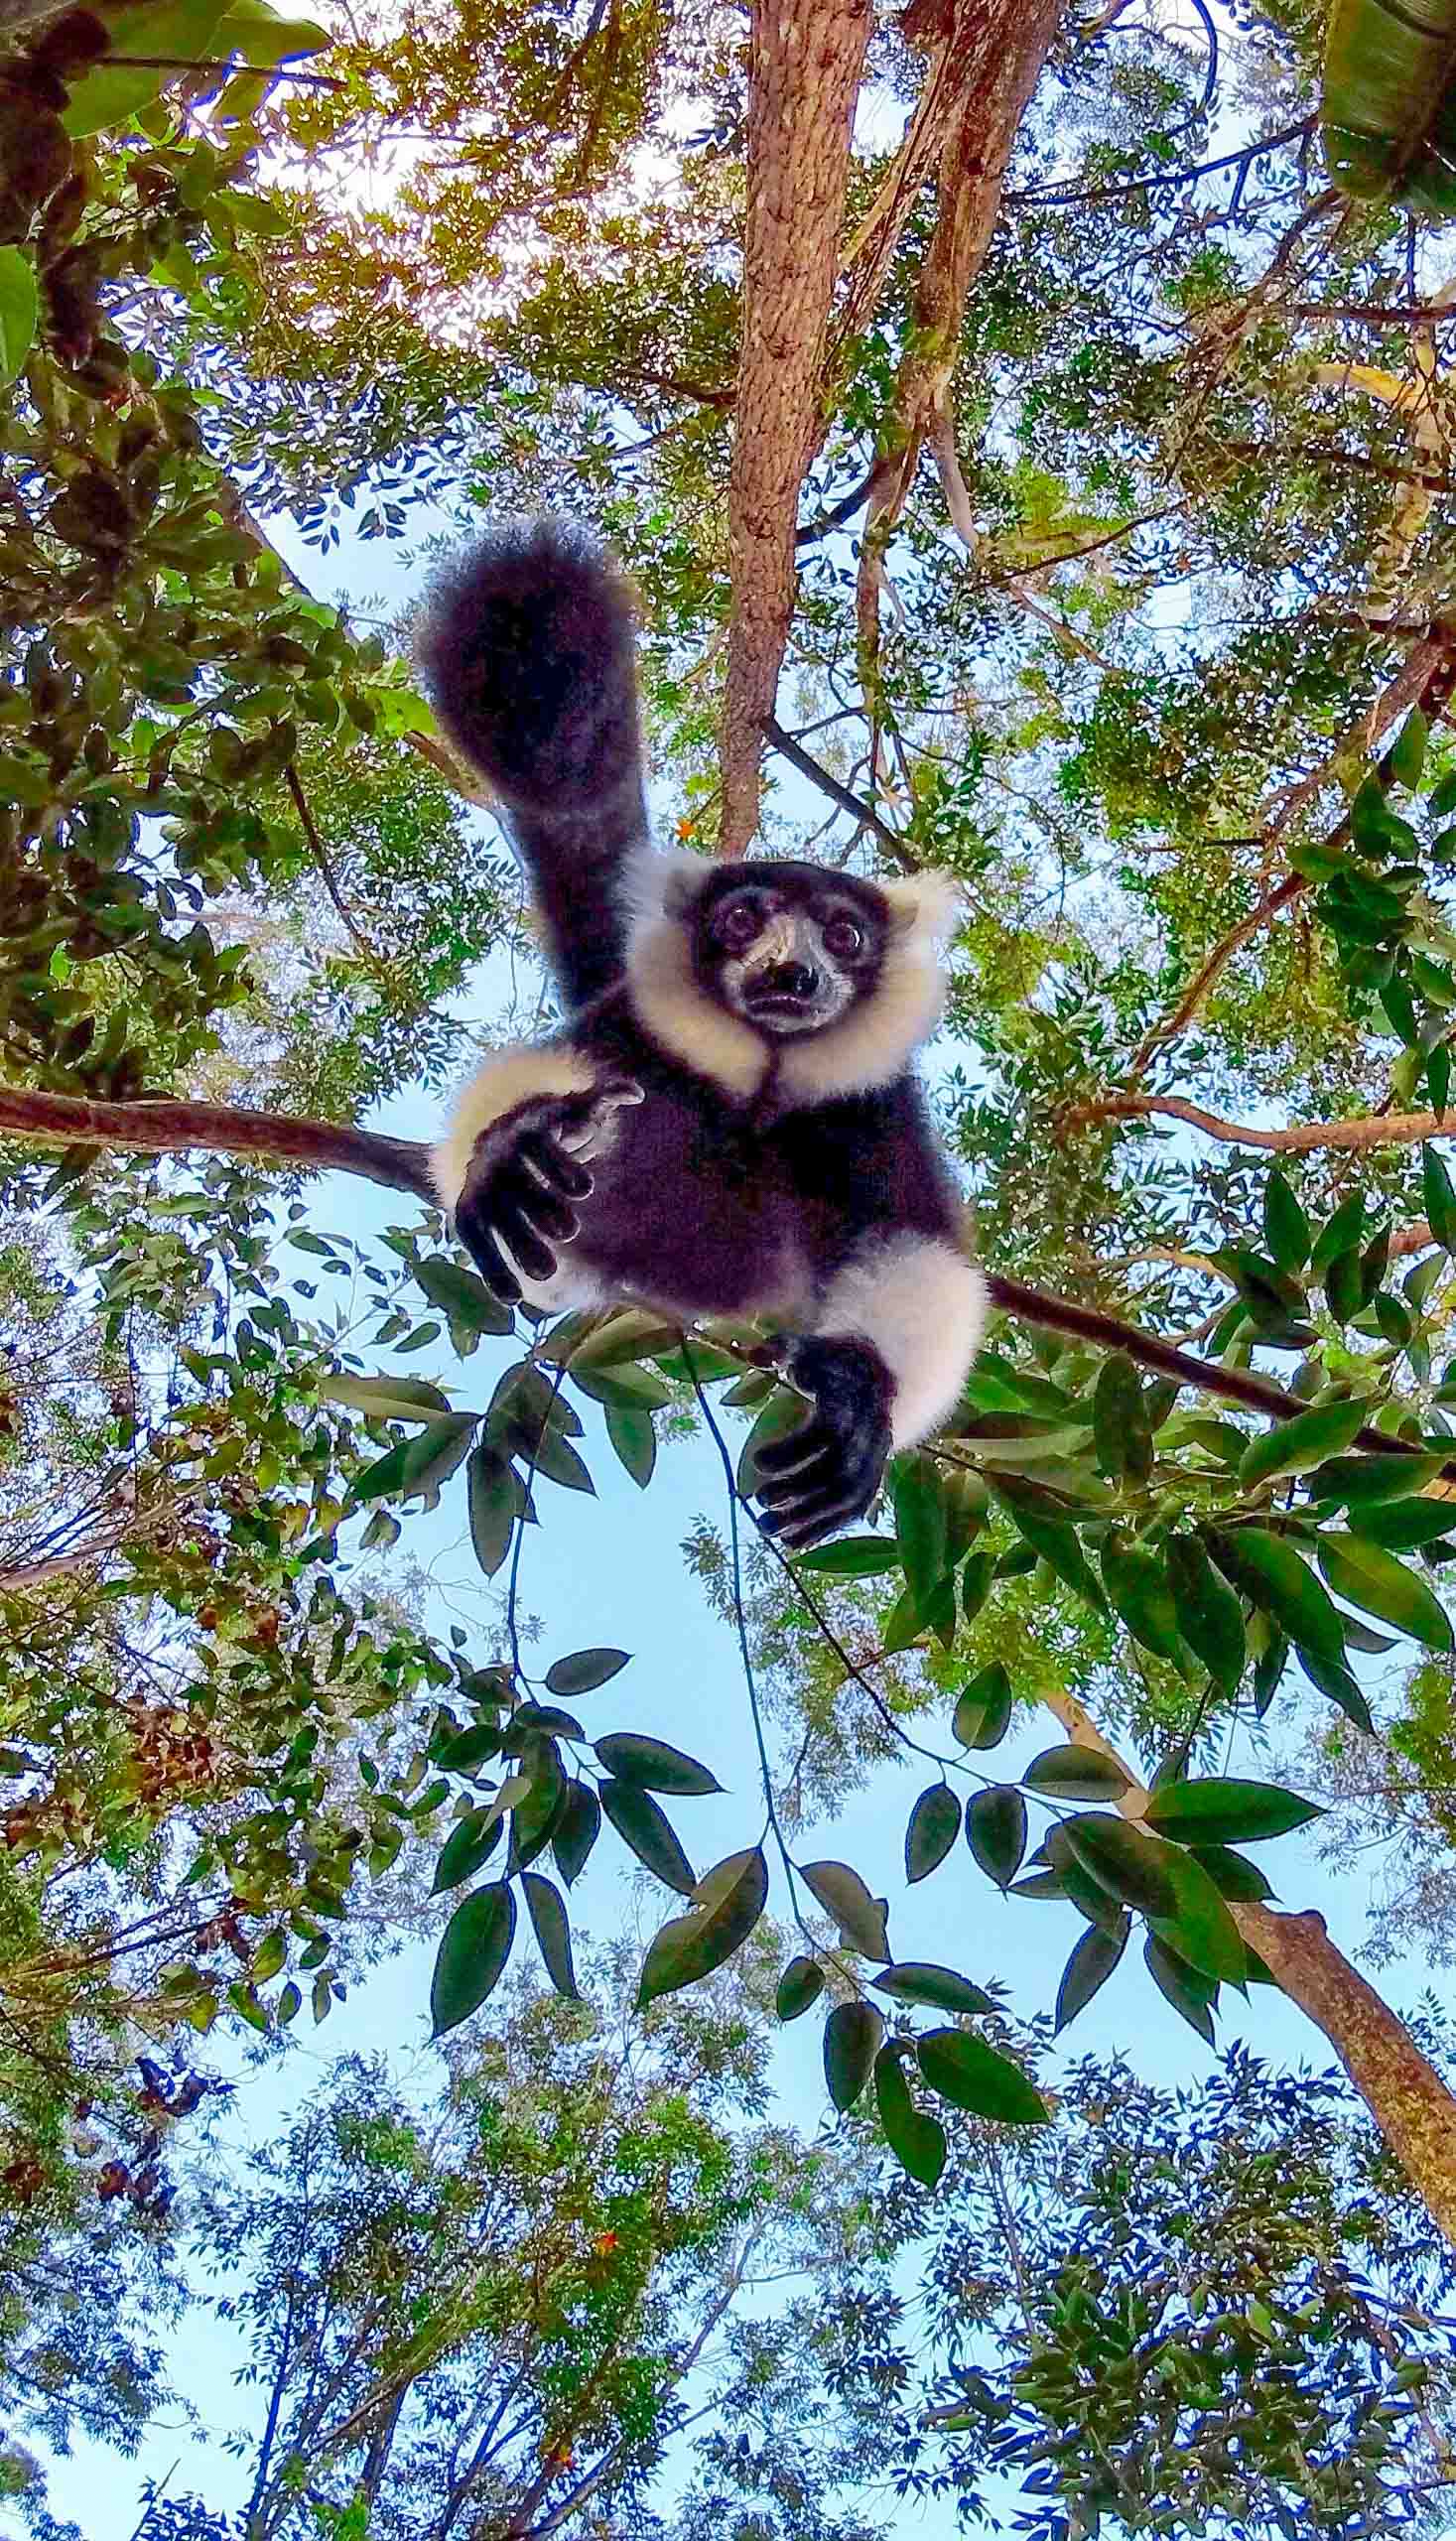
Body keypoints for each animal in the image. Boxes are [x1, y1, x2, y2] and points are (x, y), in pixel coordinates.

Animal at [415, 518, 985, 1549]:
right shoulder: (636, 1029)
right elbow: (552, 1077)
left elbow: (913, 1240)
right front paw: (512, 1148)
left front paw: (858, 1395)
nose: (790, 977)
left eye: (844, 935)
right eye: (742, 921)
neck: (762, 1075)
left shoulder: (875, 1104)